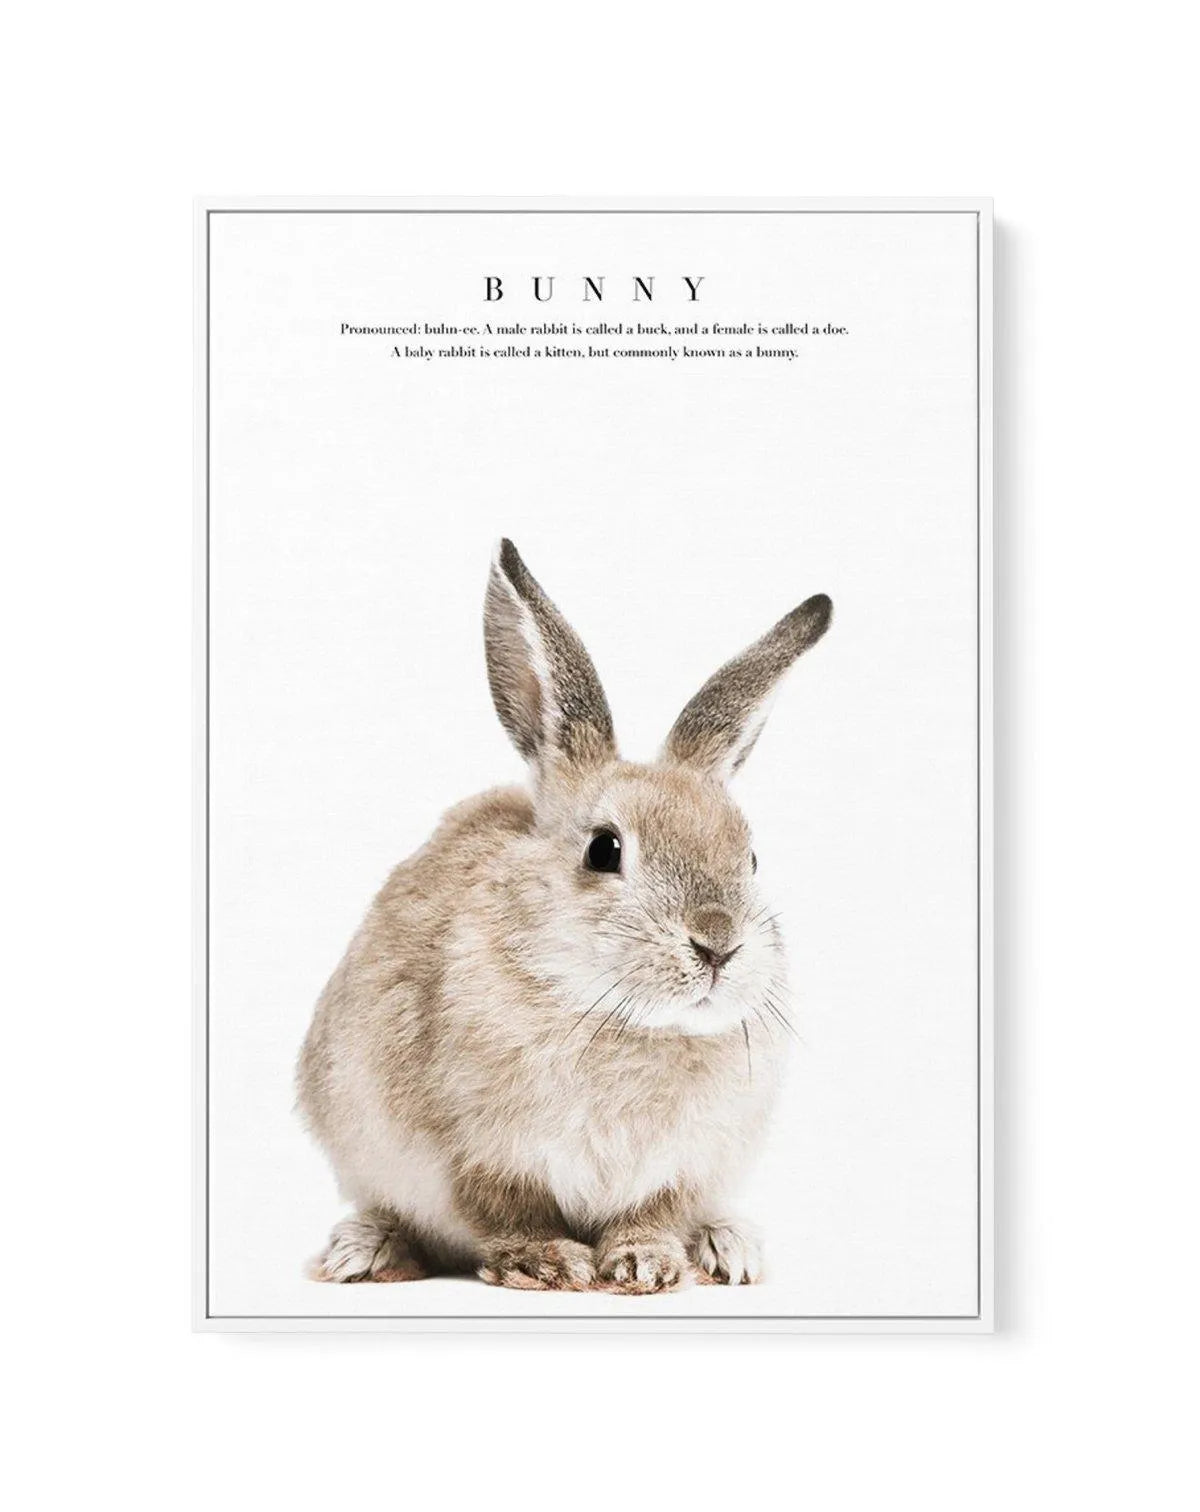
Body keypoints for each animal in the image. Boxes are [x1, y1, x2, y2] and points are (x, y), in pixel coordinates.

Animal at [297, 540, 832, 1293]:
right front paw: (547, 1262)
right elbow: (507, 1213)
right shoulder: (475, 1154)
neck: (624, 1021)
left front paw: (647, 1265)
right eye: (605, 849)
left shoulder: (683, 1168)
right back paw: (364, 1252)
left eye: (751, 858)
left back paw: (729, 1248)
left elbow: (654, 1214)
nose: (718, 945)